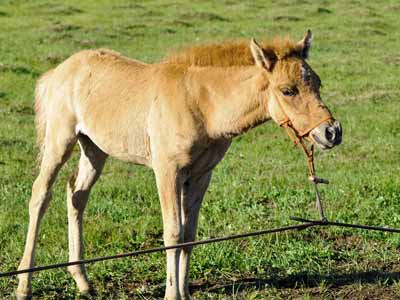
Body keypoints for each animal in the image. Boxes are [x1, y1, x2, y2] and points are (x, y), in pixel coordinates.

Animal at [16, 31, 340, 298]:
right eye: (288, 90)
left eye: (318, 82)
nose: (332, 132)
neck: (200, 103)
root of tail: (58, 71)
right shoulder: (167, 171)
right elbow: (172, 233)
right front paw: (172, 293)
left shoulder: (199, 176)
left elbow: (189, 234)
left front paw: (183, 292)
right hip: (60, 141)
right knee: (40, 195)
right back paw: (23, 285)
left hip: (95, 149)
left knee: (77, 196)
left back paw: (82, 281)